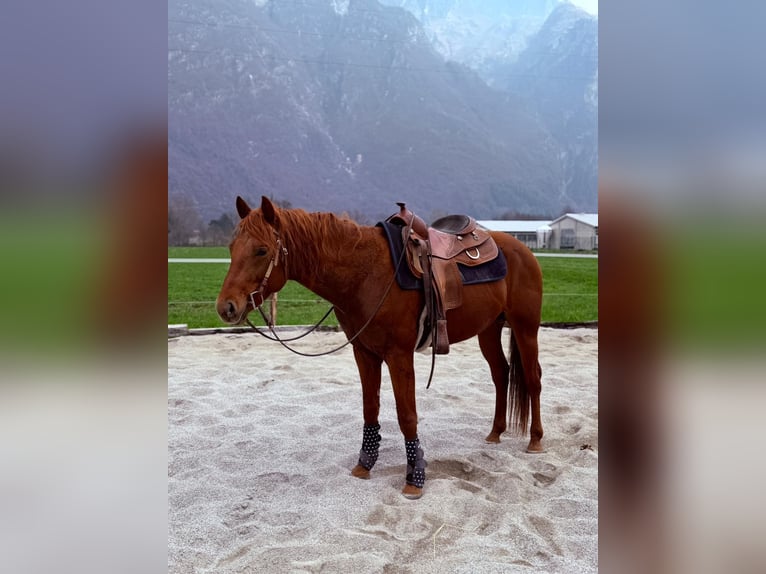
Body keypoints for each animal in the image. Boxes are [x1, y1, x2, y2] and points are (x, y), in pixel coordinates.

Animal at [217, 196, 544, 499]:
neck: (365, 274)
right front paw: (365, 464)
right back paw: (495, 433)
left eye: (261, 250)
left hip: (525, 328)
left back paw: (536, 440)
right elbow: (370, 408)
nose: (226, 307)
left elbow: (407, 414)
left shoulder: (398, 355)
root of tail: (522, 249)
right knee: (501, 374)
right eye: (231, 248)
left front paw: (415, 477)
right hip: (488, 329)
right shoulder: (364, 352)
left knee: (532, 378)